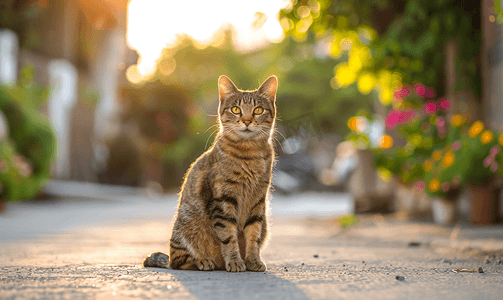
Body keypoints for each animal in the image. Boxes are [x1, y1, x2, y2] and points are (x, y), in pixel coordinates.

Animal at [143, 74, 280, 272]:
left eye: (258, 110)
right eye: (236, 109)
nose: (247, 121)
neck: (249, 153)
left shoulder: (258, 201)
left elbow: (253, 235)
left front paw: (253, 261)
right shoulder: (223, 200)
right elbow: (229, 236)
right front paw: (235, 261)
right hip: (187, 226)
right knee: (178, 262)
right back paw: (204, 261)